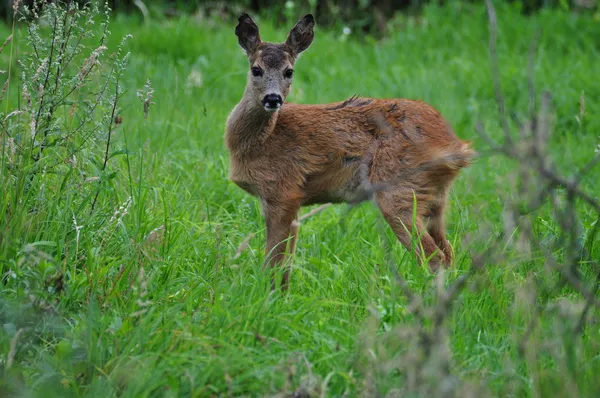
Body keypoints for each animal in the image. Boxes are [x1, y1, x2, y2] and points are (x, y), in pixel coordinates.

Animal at [225, 12, 474, 290]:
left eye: (289, 71)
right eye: (256, 69)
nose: (273, 99)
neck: (259, 141)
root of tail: (454, 145)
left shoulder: (282, 191)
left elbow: (273, 262)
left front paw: (268, 295)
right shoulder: (294, 202)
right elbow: (286, 264)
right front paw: (282, 295)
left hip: (398, 189)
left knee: (434, 257)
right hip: (436, 198)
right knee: (449, 252)